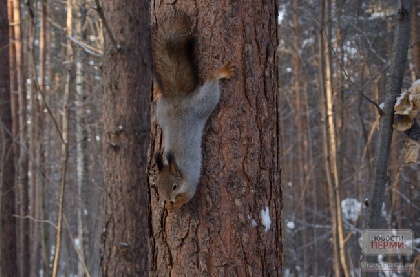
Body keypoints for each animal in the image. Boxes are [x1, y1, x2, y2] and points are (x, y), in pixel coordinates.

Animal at [153, 13, 235, 209]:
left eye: (174, 186)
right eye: (158, 186)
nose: (168, 199)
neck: (179, 172)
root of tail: (178, 99)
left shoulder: (190, 184)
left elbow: (187, 197)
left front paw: (176, 205)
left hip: (202, 105)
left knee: (211, 83)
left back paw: (220, 72)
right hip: (162, 113)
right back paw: (158, 91)